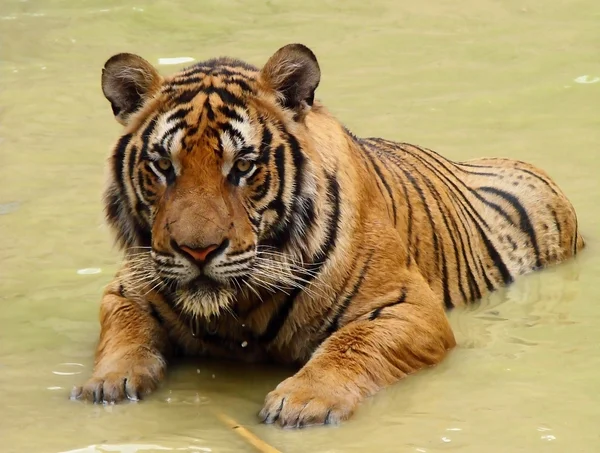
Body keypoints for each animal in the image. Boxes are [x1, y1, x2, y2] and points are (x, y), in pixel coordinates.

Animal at [69, 42, 580, 428]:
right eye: (163, 166)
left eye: (243, 166)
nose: (198, 250)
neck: (237, 310)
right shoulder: (128, 288)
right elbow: (126, 333)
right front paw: (107, 383)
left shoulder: (409, 307)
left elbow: (351, 345)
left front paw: (302, 402)